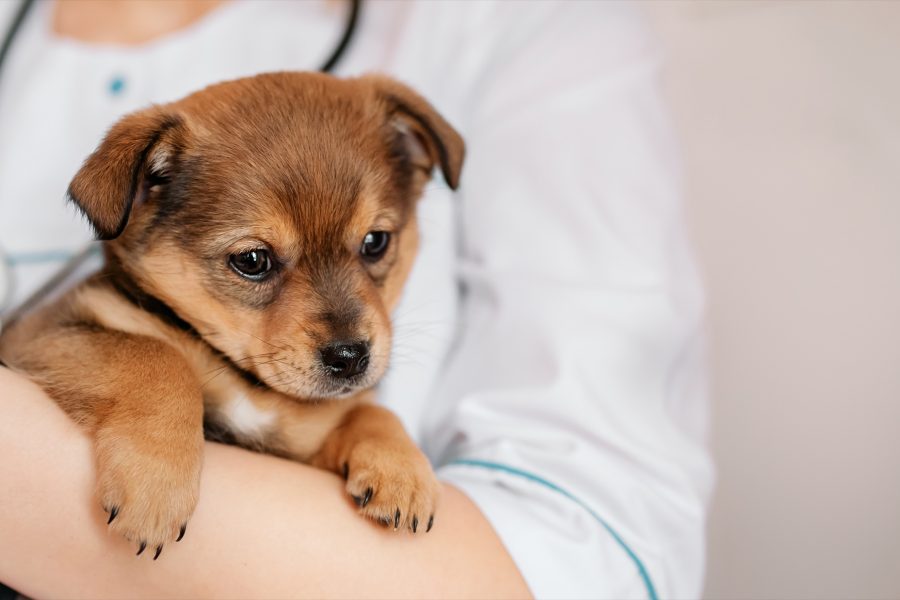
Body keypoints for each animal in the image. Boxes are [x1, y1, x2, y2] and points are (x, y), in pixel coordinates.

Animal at [0, 72, 464, 560]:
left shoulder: (300, 444)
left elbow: (368, 411)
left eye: (376, 241)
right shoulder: (44, 332)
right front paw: (155, 484)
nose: (350, 357)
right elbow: (156, 357)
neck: (249, 384)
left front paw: (403, 469)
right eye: (252, 260)